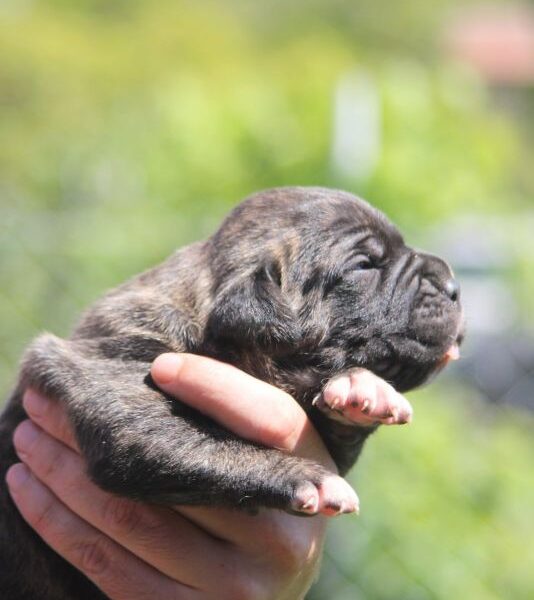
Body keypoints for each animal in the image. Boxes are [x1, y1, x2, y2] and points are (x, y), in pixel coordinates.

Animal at [0, 189, 464, 600]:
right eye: (365, 265)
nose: (454, 286)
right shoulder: (114, 377)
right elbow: (205, 445)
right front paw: (309, 478)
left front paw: (360, 388)